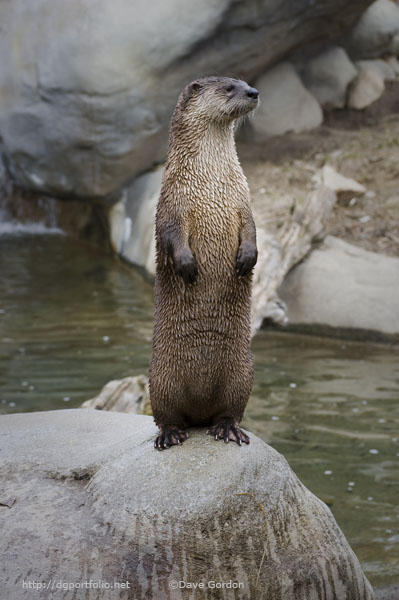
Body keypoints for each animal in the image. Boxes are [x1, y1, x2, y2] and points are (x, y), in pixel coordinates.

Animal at [150, 76, 260, 450]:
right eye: (229, 87)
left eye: (245, 81)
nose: (254, 92)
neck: (211, 182)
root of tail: (198, 413)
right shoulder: (172, 202)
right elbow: (172, 234)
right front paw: (187, 266)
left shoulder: (243, 200)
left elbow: (252, 229)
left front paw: (248, 258)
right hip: (160, 378)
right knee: (165, 415)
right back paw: (170, 435)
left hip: (242, 373)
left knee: (229, 411)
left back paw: (227, 429)